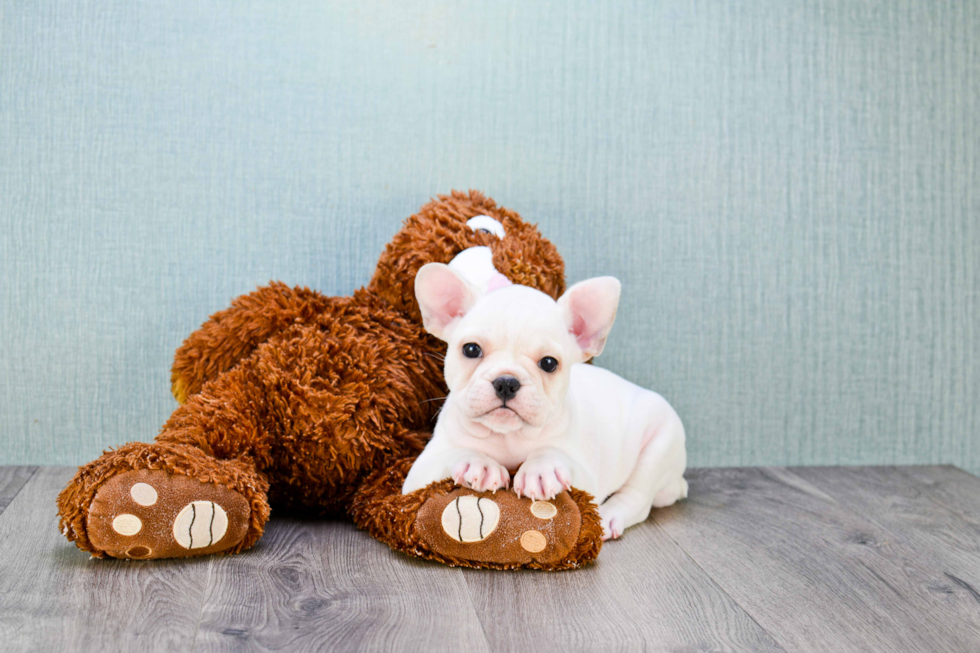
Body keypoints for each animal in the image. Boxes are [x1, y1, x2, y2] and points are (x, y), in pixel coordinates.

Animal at [400, 262, 688, 536]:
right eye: (471, 349)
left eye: (549, 363)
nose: (507, 382)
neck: (508, 437)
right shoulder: (418, 473)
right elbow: (452, 454)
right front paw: (477, 462)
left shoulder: (586, 477)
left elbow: (553, 453)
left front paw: (541, 467)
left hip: (661, 443)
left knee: (637, 497)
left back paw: (610, 517)